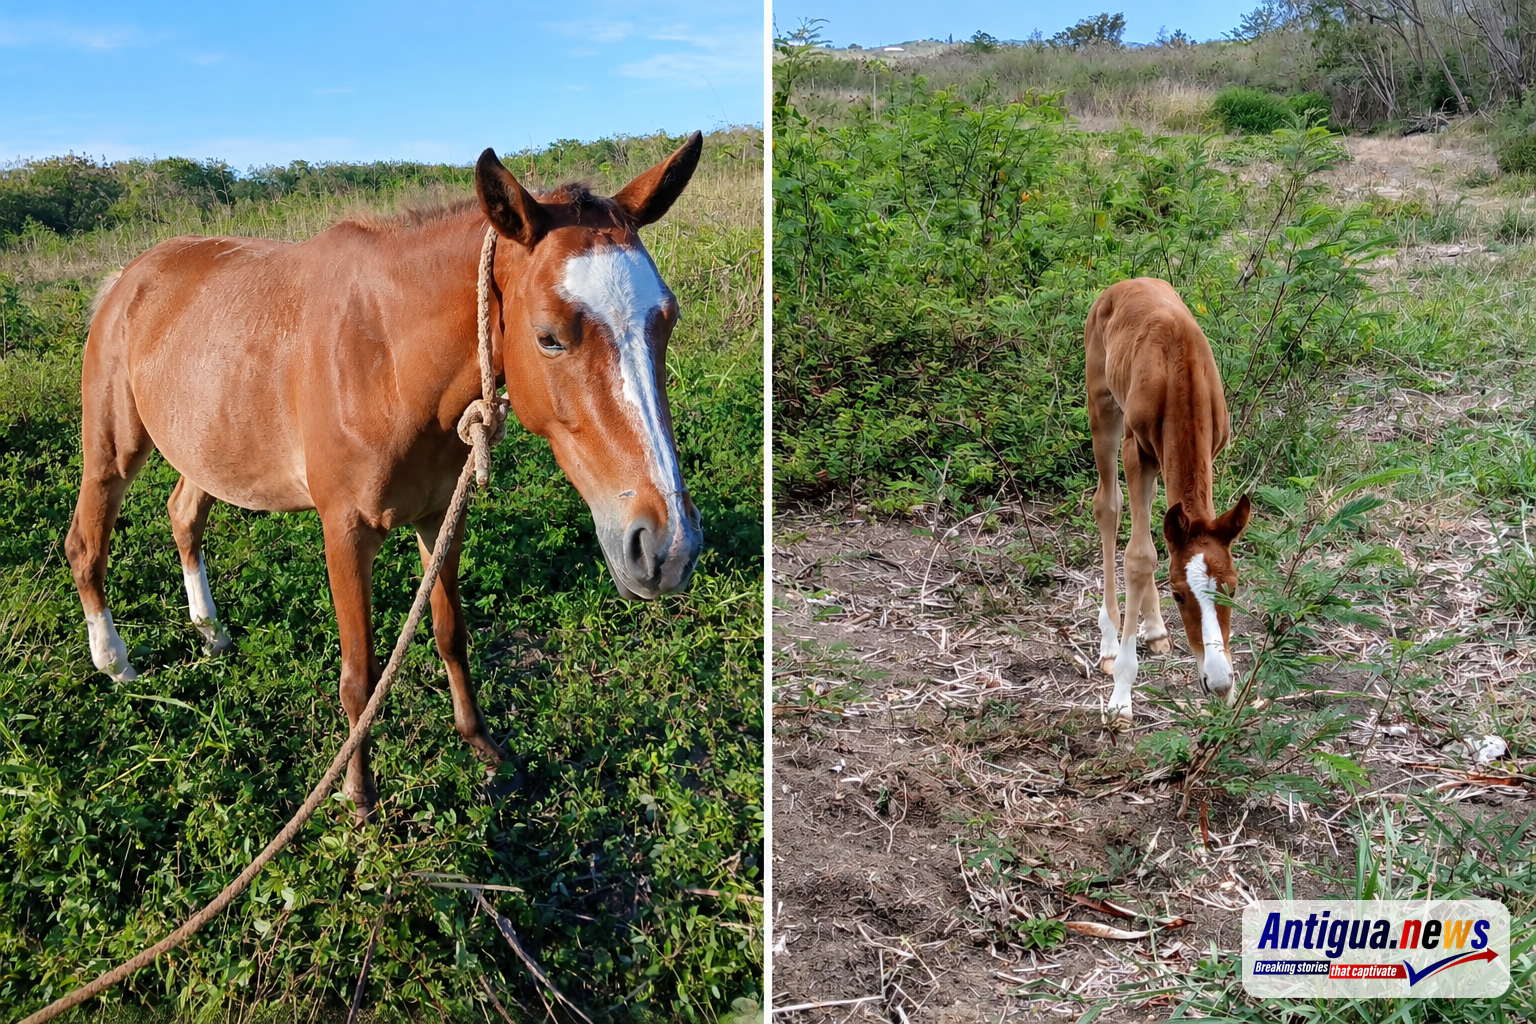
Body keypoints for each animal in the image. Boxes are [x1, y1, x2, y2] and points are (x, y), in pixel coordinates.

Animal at [65, 133, 706, 820]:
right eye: (549, 338)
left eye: (667, 319)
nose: (668, 546)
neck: (385, 359)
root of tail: (129, 278)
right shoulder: (345, 534)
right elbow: (361, 676)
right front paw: (359, 794)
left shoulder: (440, 517)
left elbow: (451, 633)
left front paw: (483, 745)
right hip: (113, 449)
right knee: (86, 542)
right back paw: (115, 662)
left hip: (205, 449)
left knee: (184, 516)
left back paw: (211, 632)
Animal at [1084, 277, 1252, 725]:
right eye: (1179, 595)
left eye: (1233, 588)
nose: (1220, 684)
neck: (1183, 373)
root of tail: (1122, 285)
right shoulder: (1136, 452)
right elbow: (1140, 557)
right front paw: (1121, 696)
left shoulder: (1211, 451)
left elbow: (1165, 537)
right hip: (1103, 404)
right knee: (1108, 505)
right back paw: (1109, 643)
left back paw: (1156, 629)